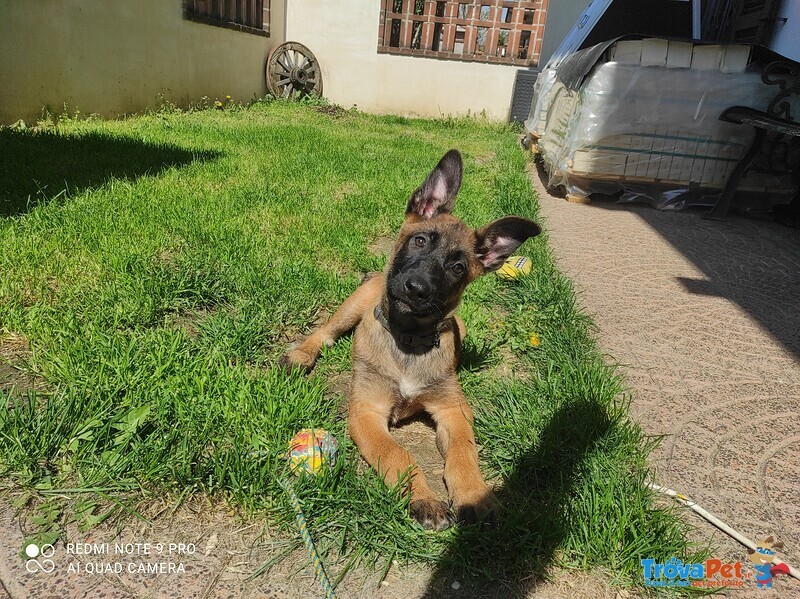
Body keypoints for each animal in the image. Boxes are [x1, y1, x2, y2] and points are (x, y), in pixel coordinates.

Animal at [280, 150, 536, 528]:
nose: (417, 289)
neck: (409, 340)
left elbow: (463, 451)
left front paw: (473, 494)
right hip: (353, 305)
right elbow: (396, 453)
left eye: (458, 268)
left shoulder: (453, 409)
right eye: (420, 241)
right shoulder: (366, 412)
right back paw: (301, 355)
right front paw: (423, 498)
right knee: (325, 332)